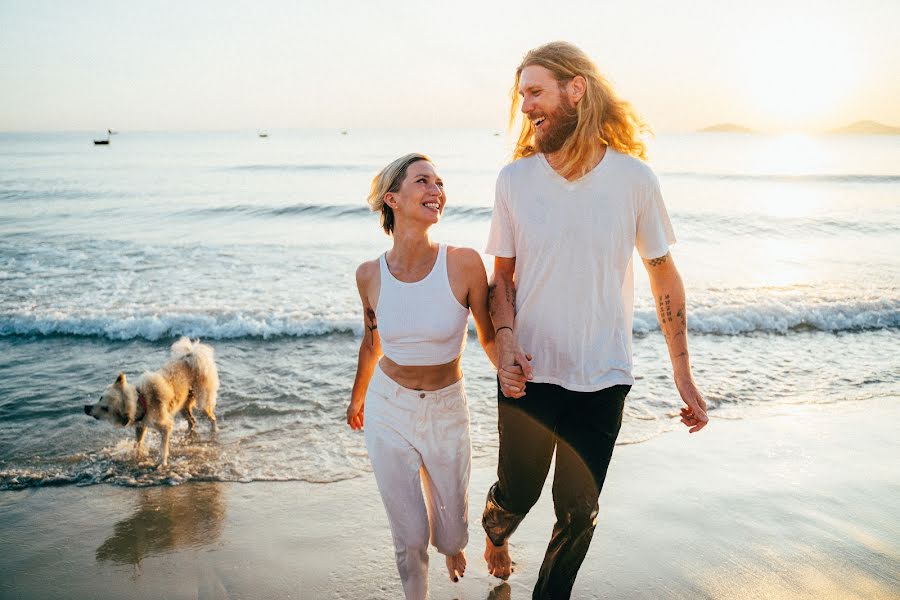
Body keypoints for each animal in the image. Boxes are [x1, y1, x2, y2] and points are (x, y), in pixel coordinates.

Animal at [84, 336, 220, 466]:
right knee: (192, 421)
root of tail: (191, 355)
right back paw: (188, 434)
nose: (86, 407)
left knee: (212, 417)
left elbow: (163, 448)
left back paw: (214, 430)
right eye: (100, 398)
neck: (141, 400)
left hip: (202, 402)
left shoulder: (165, 427)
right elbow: (137, 444)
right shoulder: (141, 426)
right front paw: (136, 455)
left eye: (105, 409)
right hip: (183, 406)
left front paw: (162, 462)